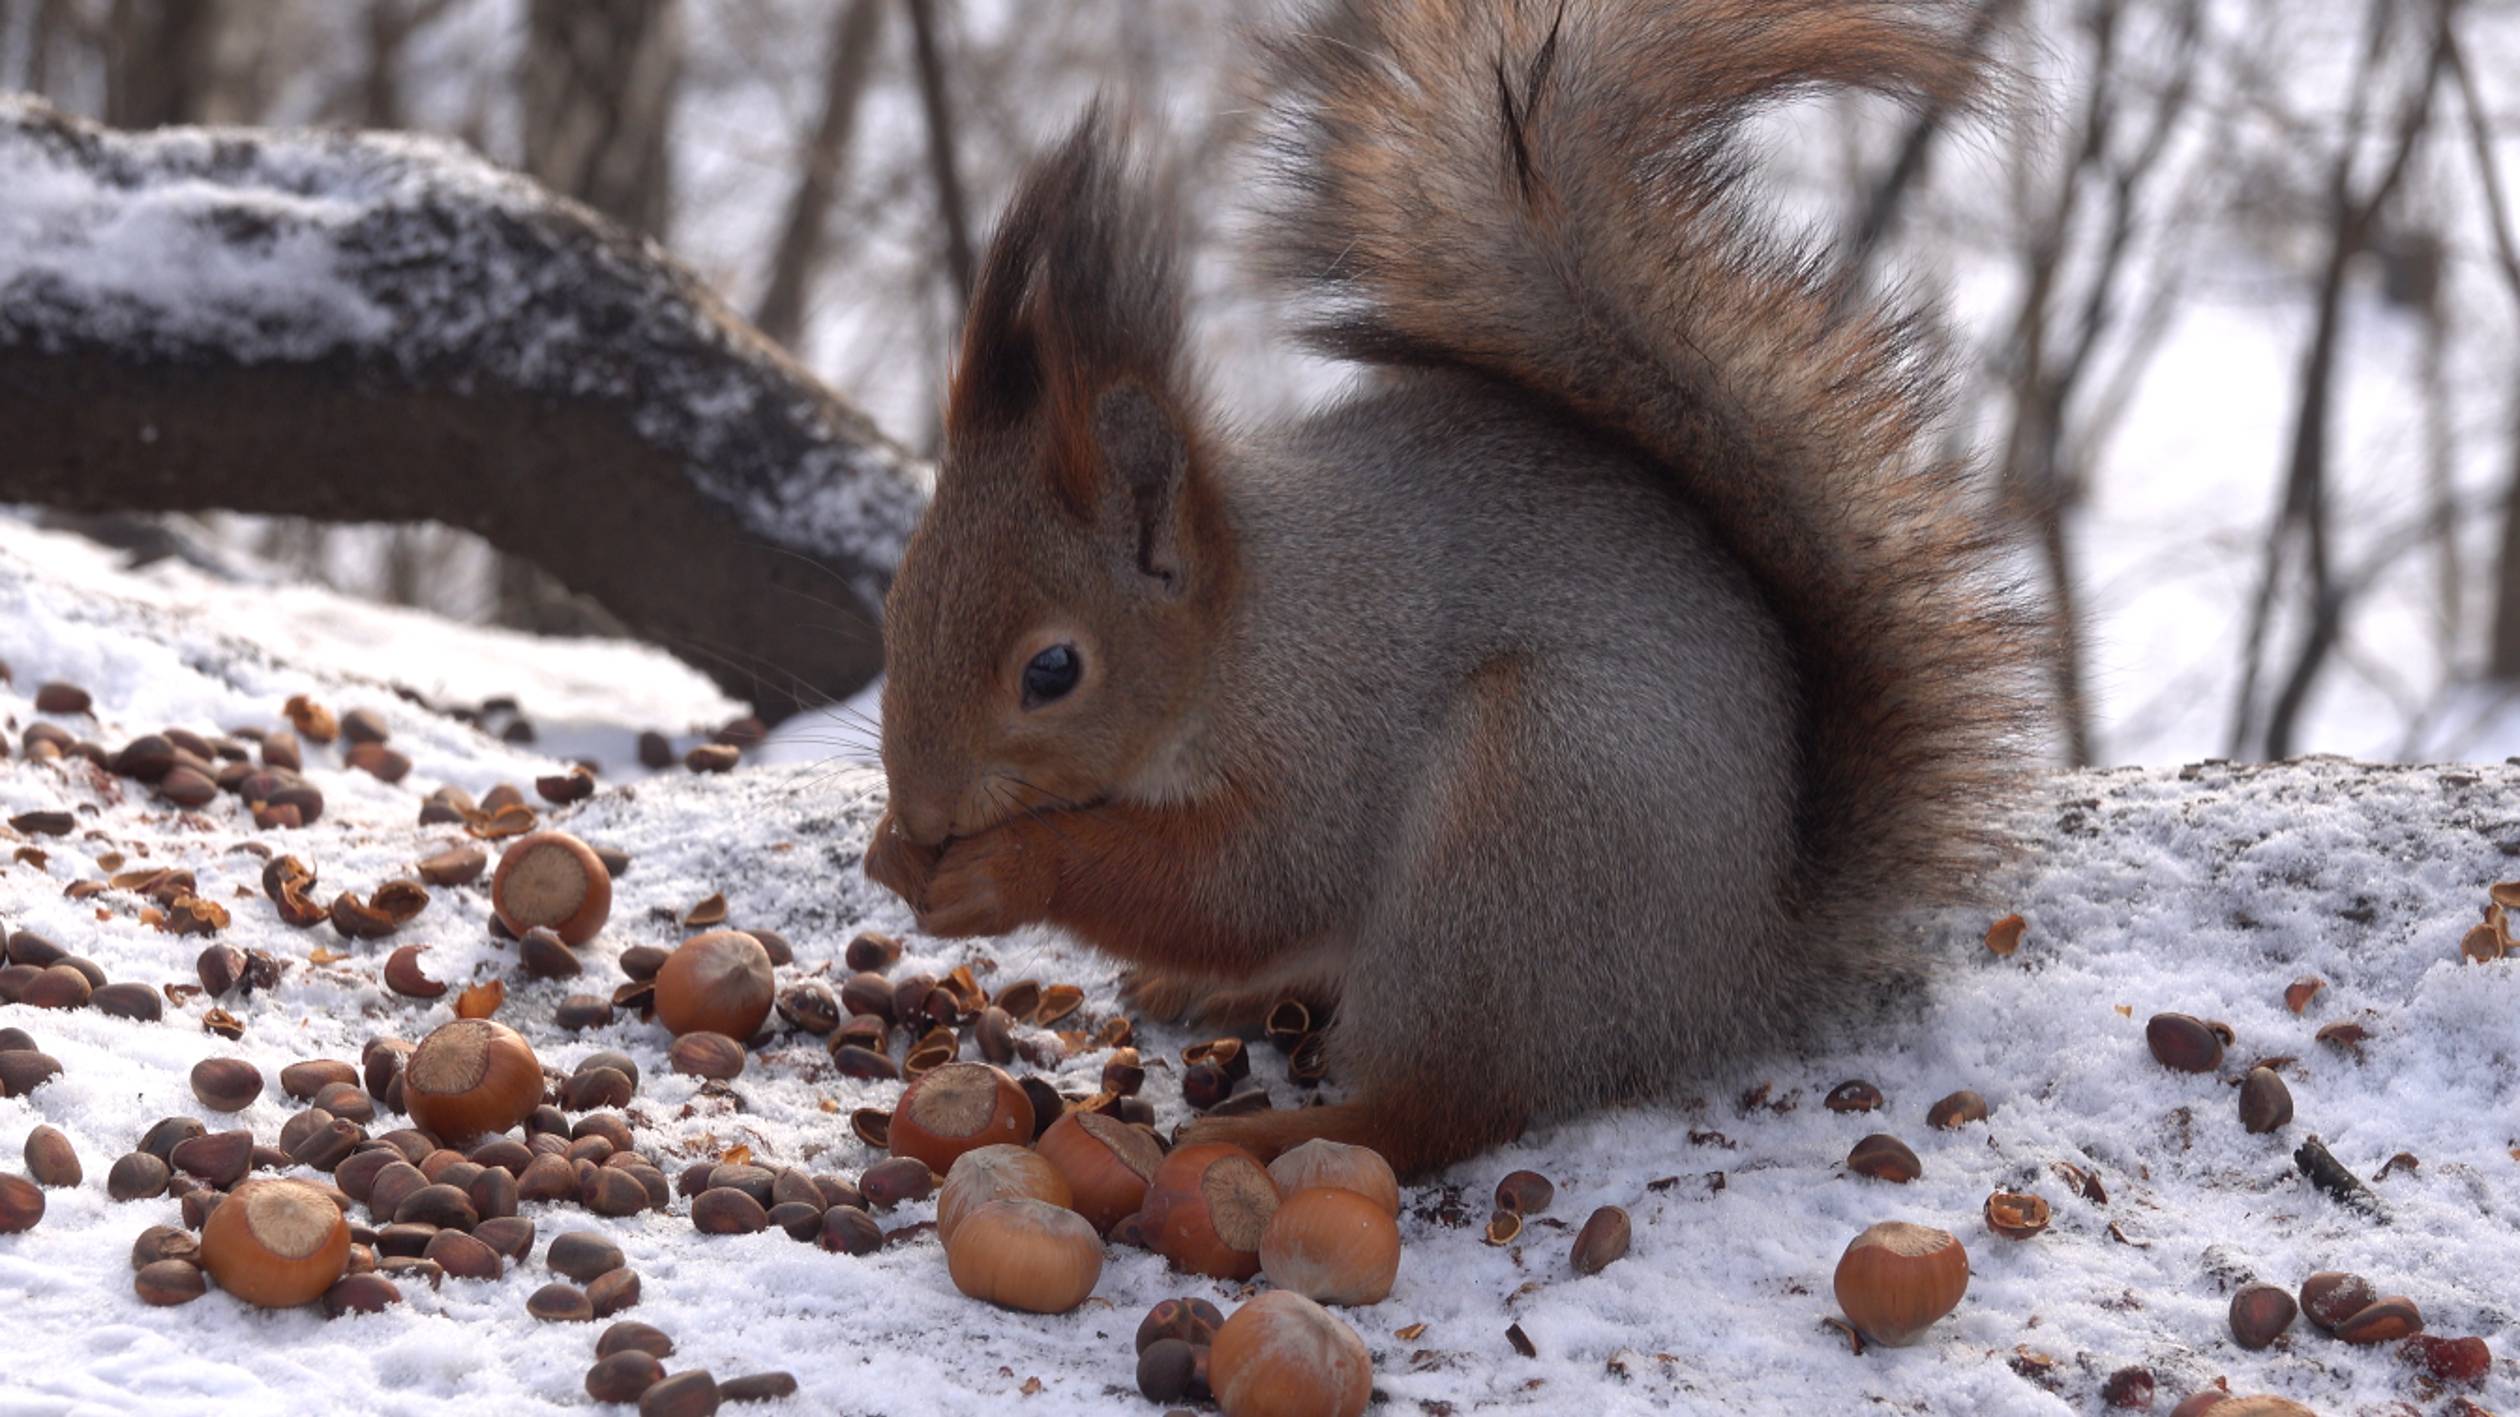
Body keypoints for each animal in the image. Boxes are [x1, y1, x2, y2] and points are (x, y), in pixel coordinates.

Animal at [866, 0, 2046, 1169]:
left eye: (1053, 671)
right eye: (896, 606)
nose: (922, 808)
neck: (1241, 631)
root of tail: (1737, 970)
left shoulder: (1324, 733)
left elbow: (1247, 883)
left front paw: (1004, 870)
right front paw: (893, 853)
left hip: (1522, 828)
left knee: (1440, 1108)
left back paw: (1283, 1136)